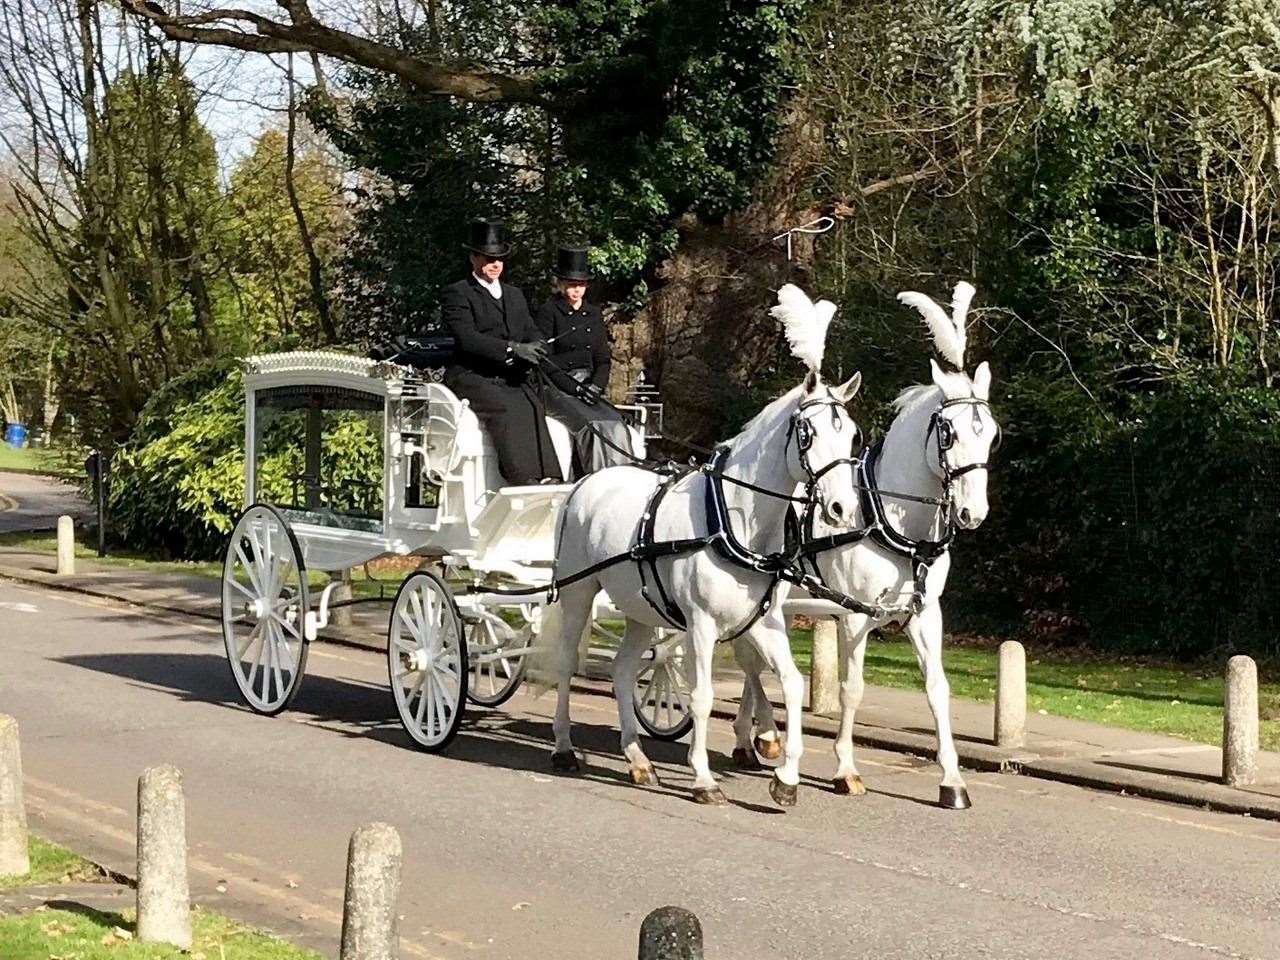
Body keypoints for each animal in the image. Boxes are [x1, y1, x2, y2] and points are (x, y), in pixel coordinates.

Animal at [535, 284, 865, 803]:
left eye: (851, 435)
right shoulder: (702, 625)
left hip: (641, 608)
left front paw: (786, 776)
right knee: (568, 663)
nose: (840, 508)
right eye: (807, 433)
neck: (735, 521)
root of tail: (585, 483)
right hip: (577, 592)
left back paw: (637, 758)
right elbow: (702, 696)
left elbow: (791, 685)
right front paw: (704, 778)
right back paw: (565, 748)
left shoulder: (765, 621)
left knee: (623, 670)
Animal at [732, 284, 998, 814]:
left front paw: (952, 780)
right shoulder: (854, 616)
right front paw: (845, 769)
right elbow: (851, 689)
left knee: (754, 660)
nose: (972, 512)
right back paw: (764, 735)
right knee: (750, 658)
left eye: (992, 434)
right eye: (948, 433)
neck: (891, 519)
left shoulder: (924, 613)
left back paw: (755, 738)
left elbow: (938, 688)